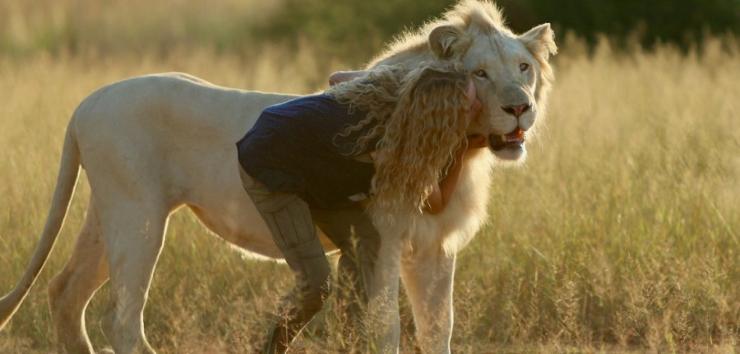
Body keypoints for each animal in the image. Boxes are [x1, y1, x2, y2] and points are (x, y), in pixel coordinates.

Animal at [0, 1, 556, 352]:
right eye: (480, 73)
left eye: (523, 68)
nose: (519, 109)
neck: (459, 149)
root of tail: (86, 103)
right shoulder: (380, 239)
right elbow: (385, 330)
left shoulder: (436, 248)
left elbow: (439, 330)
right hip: (138, 218)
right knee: (121, 319)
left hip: (108, 213)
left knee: (65, 293)